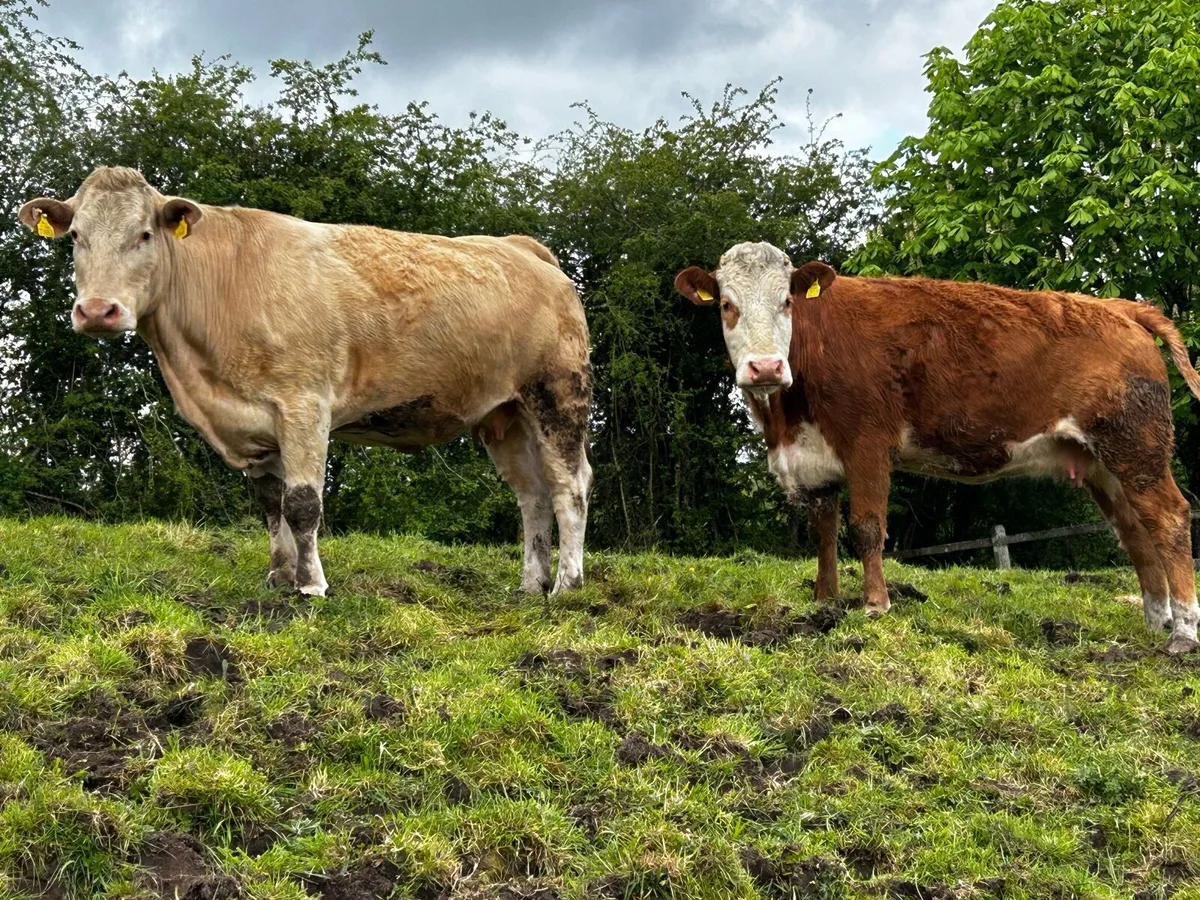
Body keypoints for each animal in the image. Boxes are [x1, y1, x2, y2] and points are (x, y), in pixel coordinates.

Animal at [19, 166, 593, 597]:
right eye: (76, 237)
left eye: (143, 234)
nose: (98, 310)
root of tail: (523, 248)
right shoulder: (254, 422)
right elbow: (271, 503)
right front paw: (279, 576)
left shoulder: (303, 404)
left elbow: (301, 503)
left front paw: (311, 585)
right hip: (504, 414)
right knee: (532, 495)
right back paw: (530, 584)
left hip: (558, 395)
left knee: (570, 486)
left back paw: (567, 584)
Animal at [676, 241, 1200, 654]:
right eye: (726, 304)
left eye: (787, 300)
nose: (765, 367)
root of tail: (1119, 308)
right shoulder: (813, 462)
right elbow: (823, 535)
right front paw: (825, 602)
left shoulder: (868, 443)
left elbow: (866, 528)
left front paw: (875, 605)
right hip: (1103, 464)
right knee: (1134, 530)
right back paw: (1155, 620)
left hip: (1136, 447)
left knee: (1170, 519)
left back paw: (1184, 632)